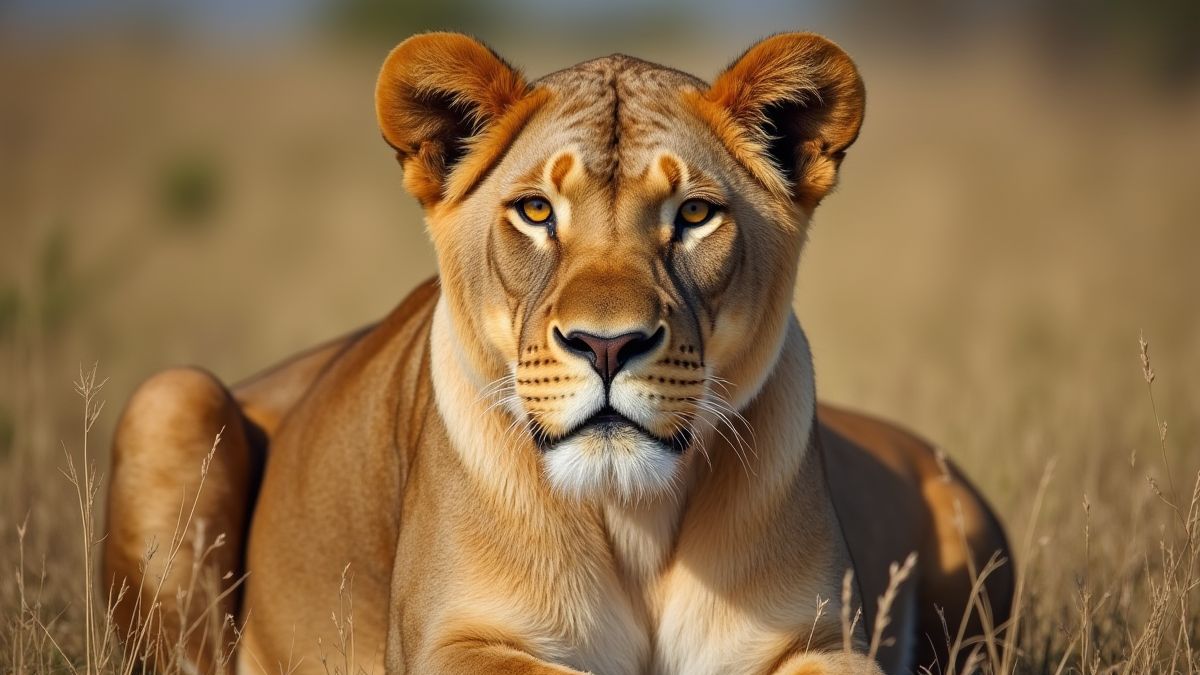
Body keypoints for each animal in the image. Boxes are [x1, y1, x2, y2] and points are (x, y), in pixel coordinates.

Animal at [104, 32, 1013, 674]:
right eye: (537, 211)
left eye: (693, 215)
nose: (607, 344)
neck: (636, 520)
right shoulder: (452, 641)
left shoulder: (818, 641)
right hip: (171, 395)